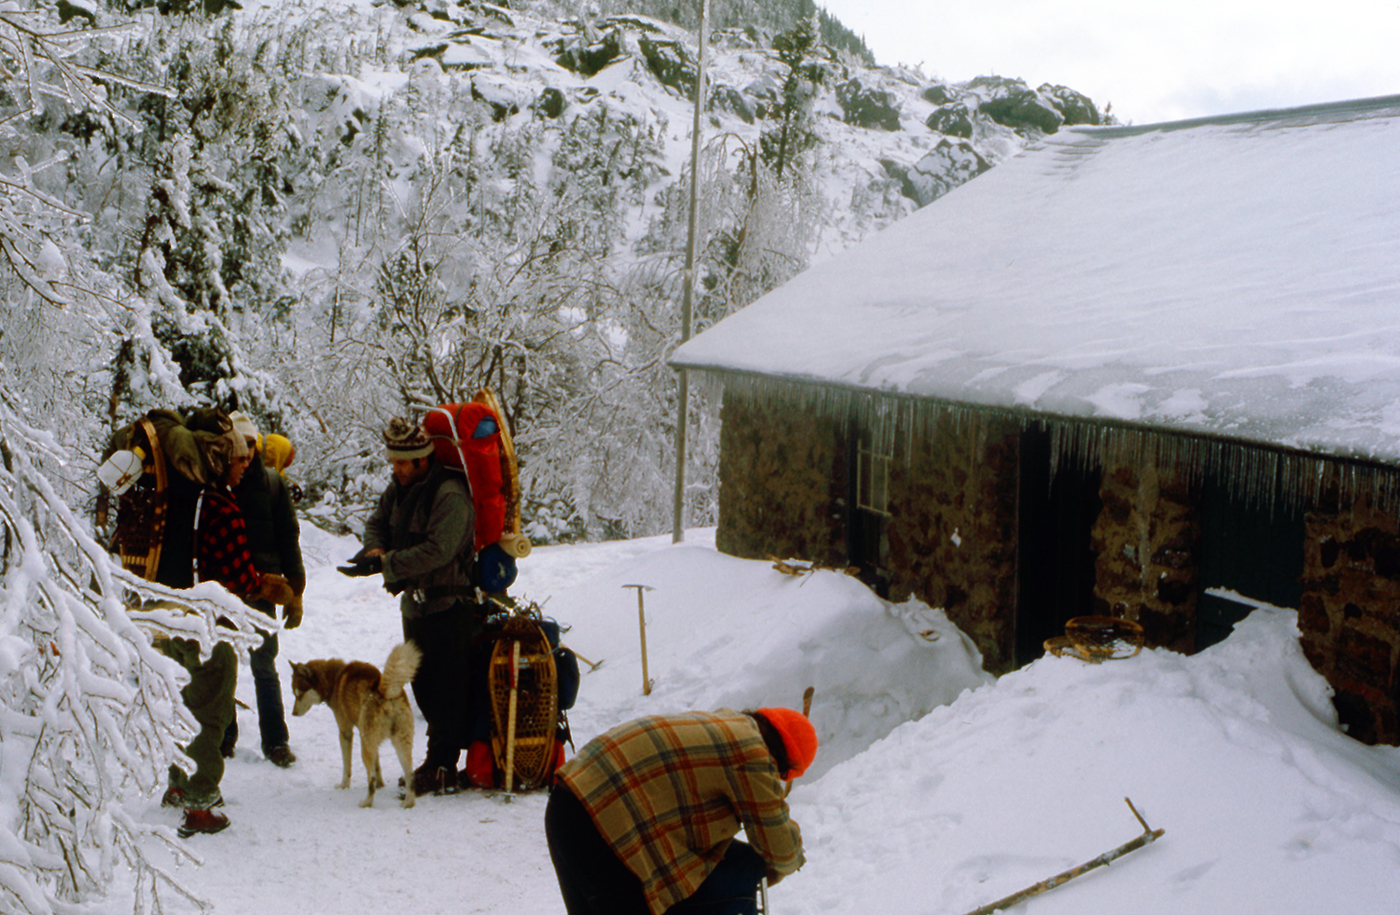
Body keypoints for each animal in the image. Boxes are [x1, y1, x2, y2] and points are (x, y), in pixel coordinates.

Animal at [289, 646, 420, 811]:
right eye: (294, 694)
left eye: (298, 694)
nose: (293, 713)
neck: (334, 678)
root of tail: (384, 692)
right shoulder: (372, 742)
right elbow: (377, 765)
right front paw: (381, 784)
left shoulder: (345, 732)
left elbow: (347, 767)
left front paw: (343, 785)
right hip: (398, 743)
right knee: (410, 775)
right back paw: (408, 803)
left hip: (366, 745)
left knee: (370, 779)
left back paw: (367, 802)